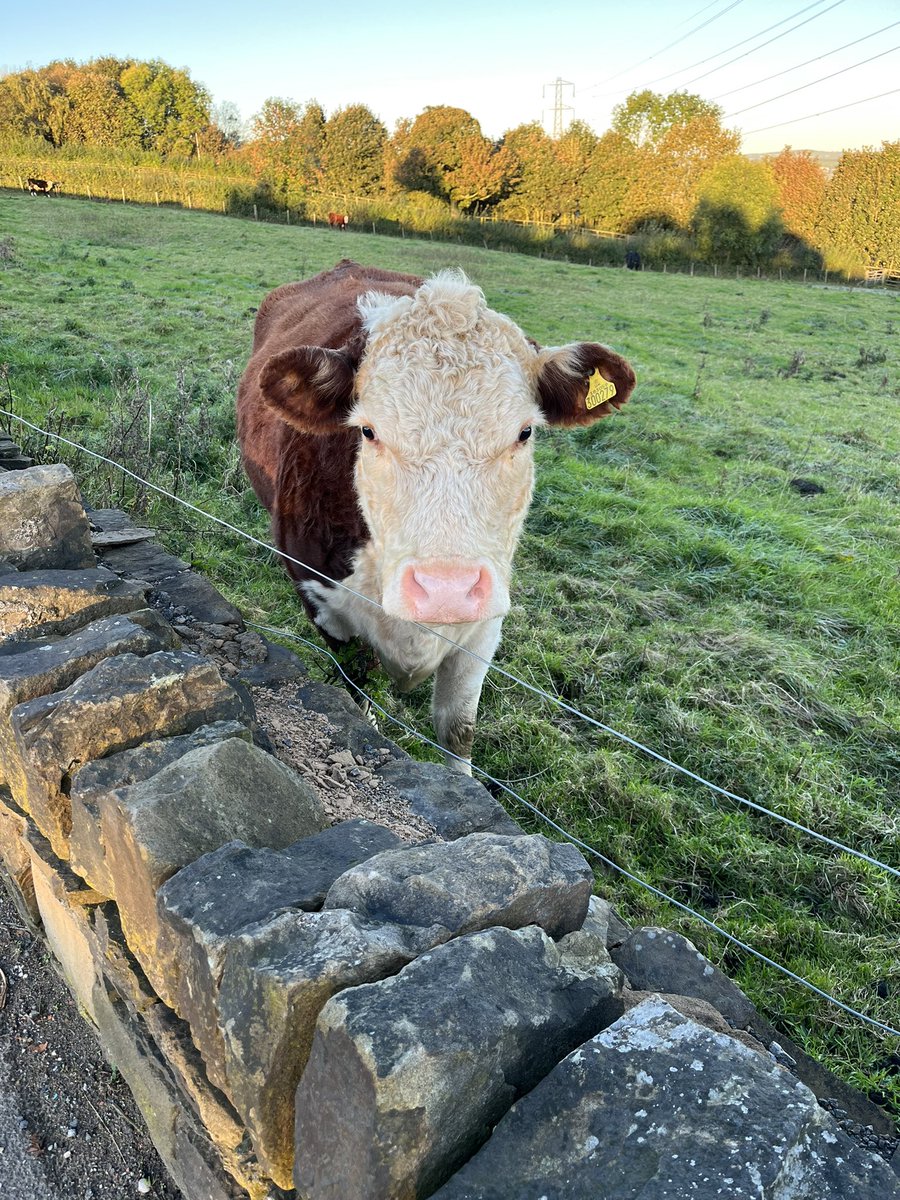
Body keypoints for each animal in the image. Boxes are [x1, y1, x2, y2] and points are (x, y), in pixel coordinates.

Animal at [237, 260, 635, 773]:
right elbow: (356, 691)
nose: (446, 590)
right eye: (368, 430)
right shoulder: (324, 605)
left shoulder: (484, 624)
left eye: (525, 432)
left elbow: (457, 726)